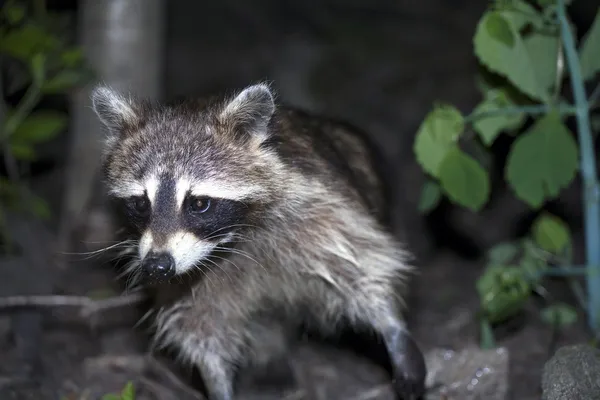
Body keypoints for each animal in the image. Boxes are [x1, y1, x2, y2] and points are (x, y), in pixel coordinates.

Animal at [90, 83, 426, 398]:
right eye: (140, 204)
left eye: (198, 204)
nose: (158, 266)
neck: (232, 240)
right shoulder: (187, 276)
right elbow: (201, 325)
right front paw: (217, 383)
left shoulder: (315, 208)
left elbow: (358, 261)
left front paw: (391, 327)